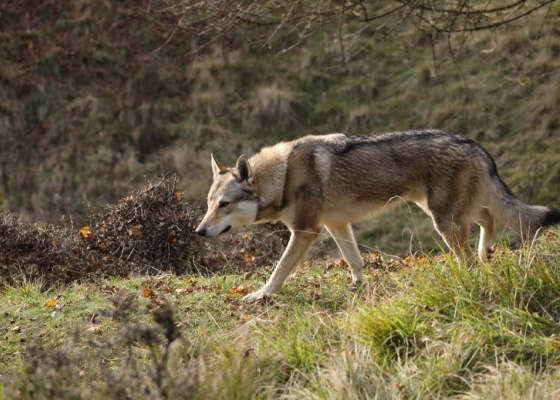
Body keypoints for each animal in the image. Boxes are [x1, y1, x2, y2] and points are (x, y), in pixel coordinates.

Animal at [196, 130, 560, 302]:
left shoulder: (307, 231)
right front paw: (359, 288)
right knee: (488, 219)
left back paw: (470, 275)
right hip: (445, 212)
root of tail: (473, 143)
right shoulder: (336, 224)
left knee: (469, 252)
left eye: (224, 205)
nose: (199, 231)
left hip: (442, 220)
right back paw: (486, 255)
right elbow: (355, 261)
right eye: (209, 204)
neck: (283, 176)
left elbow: (279, 270)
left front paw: (261, 295)